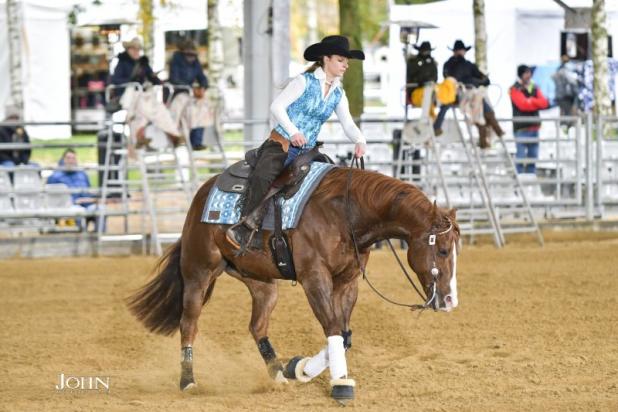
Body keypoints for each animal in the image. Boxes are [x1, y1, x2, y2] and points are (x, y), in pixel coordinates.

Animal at [126, 167, 458, 402]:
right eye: (442, 250)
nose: (450, 301)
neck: (344, 213)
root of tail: (201, 196)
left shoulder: (347, 282)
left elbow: (344, 334)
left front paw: (298, 368)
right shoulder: (315, 278)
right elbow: (333, 327)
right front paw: (340, 383)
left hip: (262, 283)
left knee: (257, 326)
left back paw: (278, 375)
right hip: (198, 273)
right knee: (189, 324)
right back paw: (188, 381)